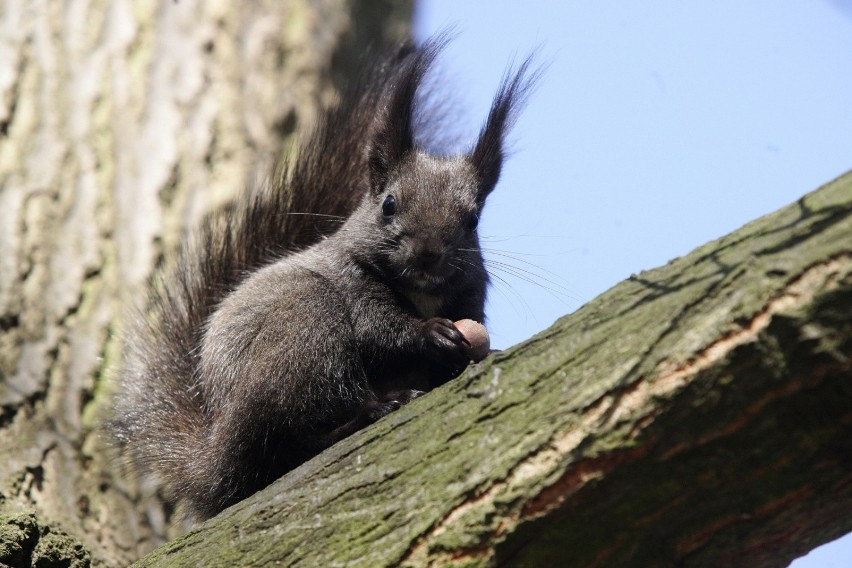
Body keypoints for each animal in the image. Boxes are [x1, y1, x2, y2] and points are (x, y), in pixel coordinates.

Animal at [110, 36, 540, 520]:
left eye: (472, 220)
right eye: (389, 204)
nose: (429, 254)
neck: (420, 292)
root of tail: (216, 457)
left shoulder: (469, 294)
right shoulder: (350, 282)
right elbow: (378, 329)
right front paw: (430, 333)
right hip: (306, 334)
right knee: (287, 444)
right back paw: (371, 413)